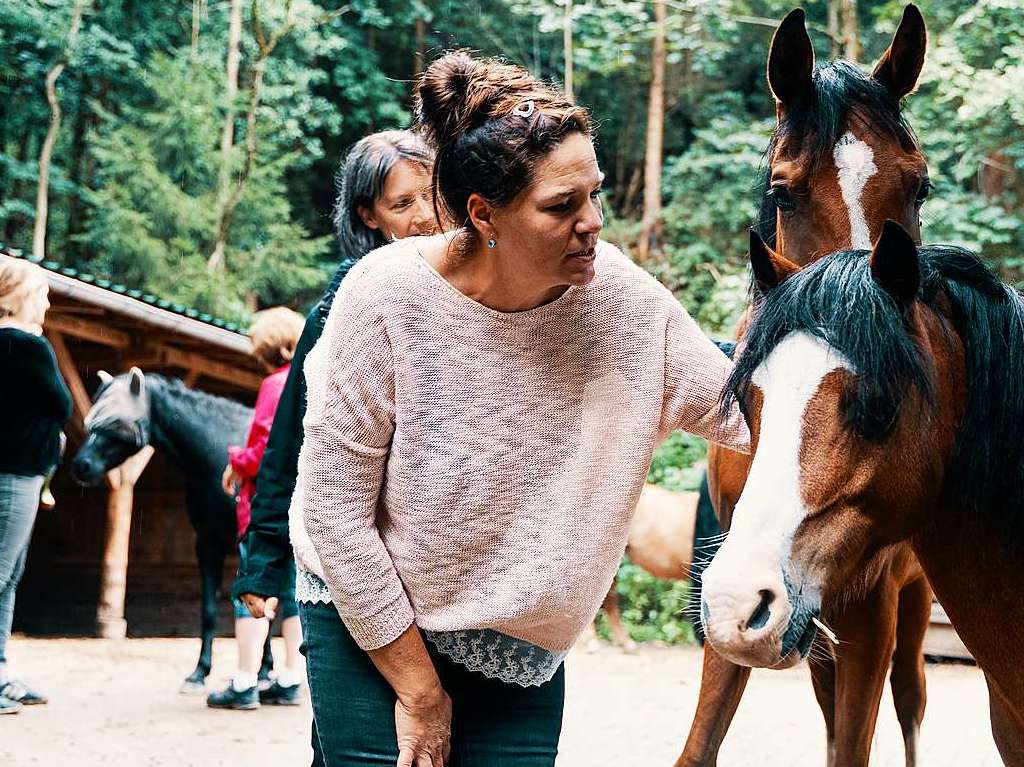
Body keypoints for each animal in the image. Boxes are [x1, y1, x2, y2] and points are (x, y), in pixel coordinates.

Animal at [675, 7, 933, 765]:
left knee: (910, 704)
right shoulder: (733, 595)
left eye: (919, 187)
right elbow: (700, 744)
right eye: (783, 190)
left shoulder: (872, 608)